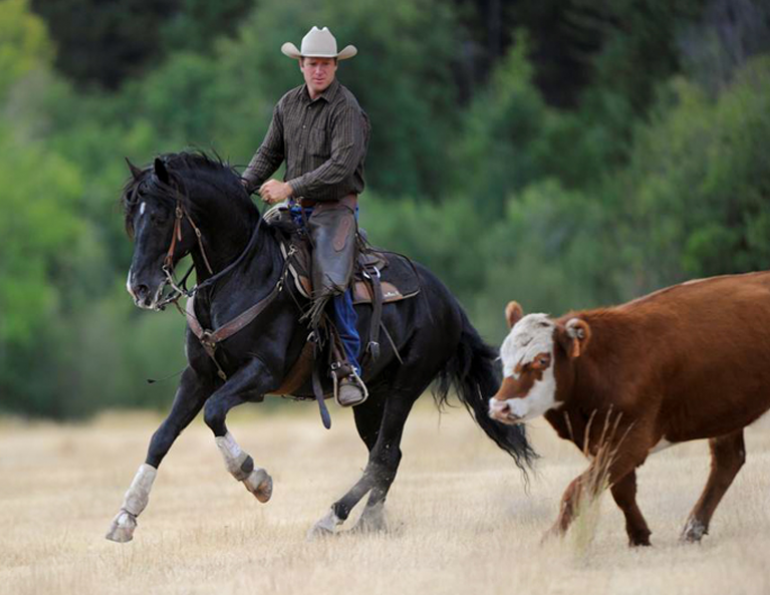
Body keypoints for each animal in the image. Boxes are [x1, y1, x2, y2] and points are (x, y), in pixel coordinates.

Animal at [106, 151, 535, 542]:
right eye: (132, 220)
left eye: (160, 217)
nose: (139, 287)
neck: (242, 275)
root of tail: (448, 302)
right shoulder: (199, 376)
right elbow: (162, 436)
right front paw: (126, 516)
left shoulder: (261, 373)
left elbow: (213, 414)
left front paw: (255, 477)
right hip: (372, 397)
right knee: (386, 456)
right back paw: (369, 523)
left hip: (405, 386)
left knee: (382, 456)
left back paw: (332, 518)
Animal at [488, 271, 770, 546]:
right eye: (503, 357)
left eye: (542, 360)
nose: (499, 406)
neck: (606, 362)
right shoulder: (606, 440)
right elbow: (621, 490)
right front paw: (639, 535)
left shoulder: (632, 439)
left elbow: (578, 490)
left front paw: (550, 540)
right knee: (728, 461)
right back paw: (693, 530)